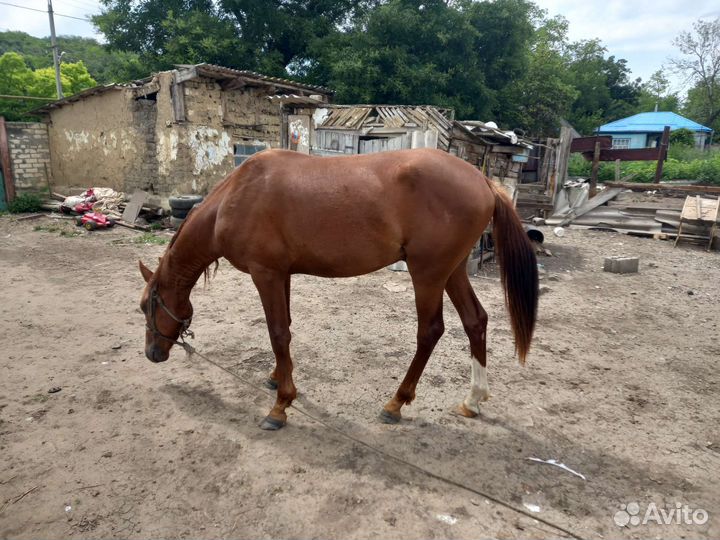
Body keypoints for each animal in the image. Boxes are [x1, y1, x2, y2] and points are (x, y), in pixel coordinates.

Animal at [139, 148, 538, 430]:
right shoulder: (281, 274)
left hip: (428, 273)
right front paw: (276, 379)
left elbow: (277, 332)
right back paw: (473, 400)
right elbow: (285, 330)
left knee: (430, 331)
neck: (237, 196)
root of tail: (483, 181)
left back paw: (396, 403)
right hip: (452, 271)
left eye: (145, 306)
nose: (152, 354)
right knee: (476, 321)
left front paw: (280, 406)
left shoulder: (265, 274)